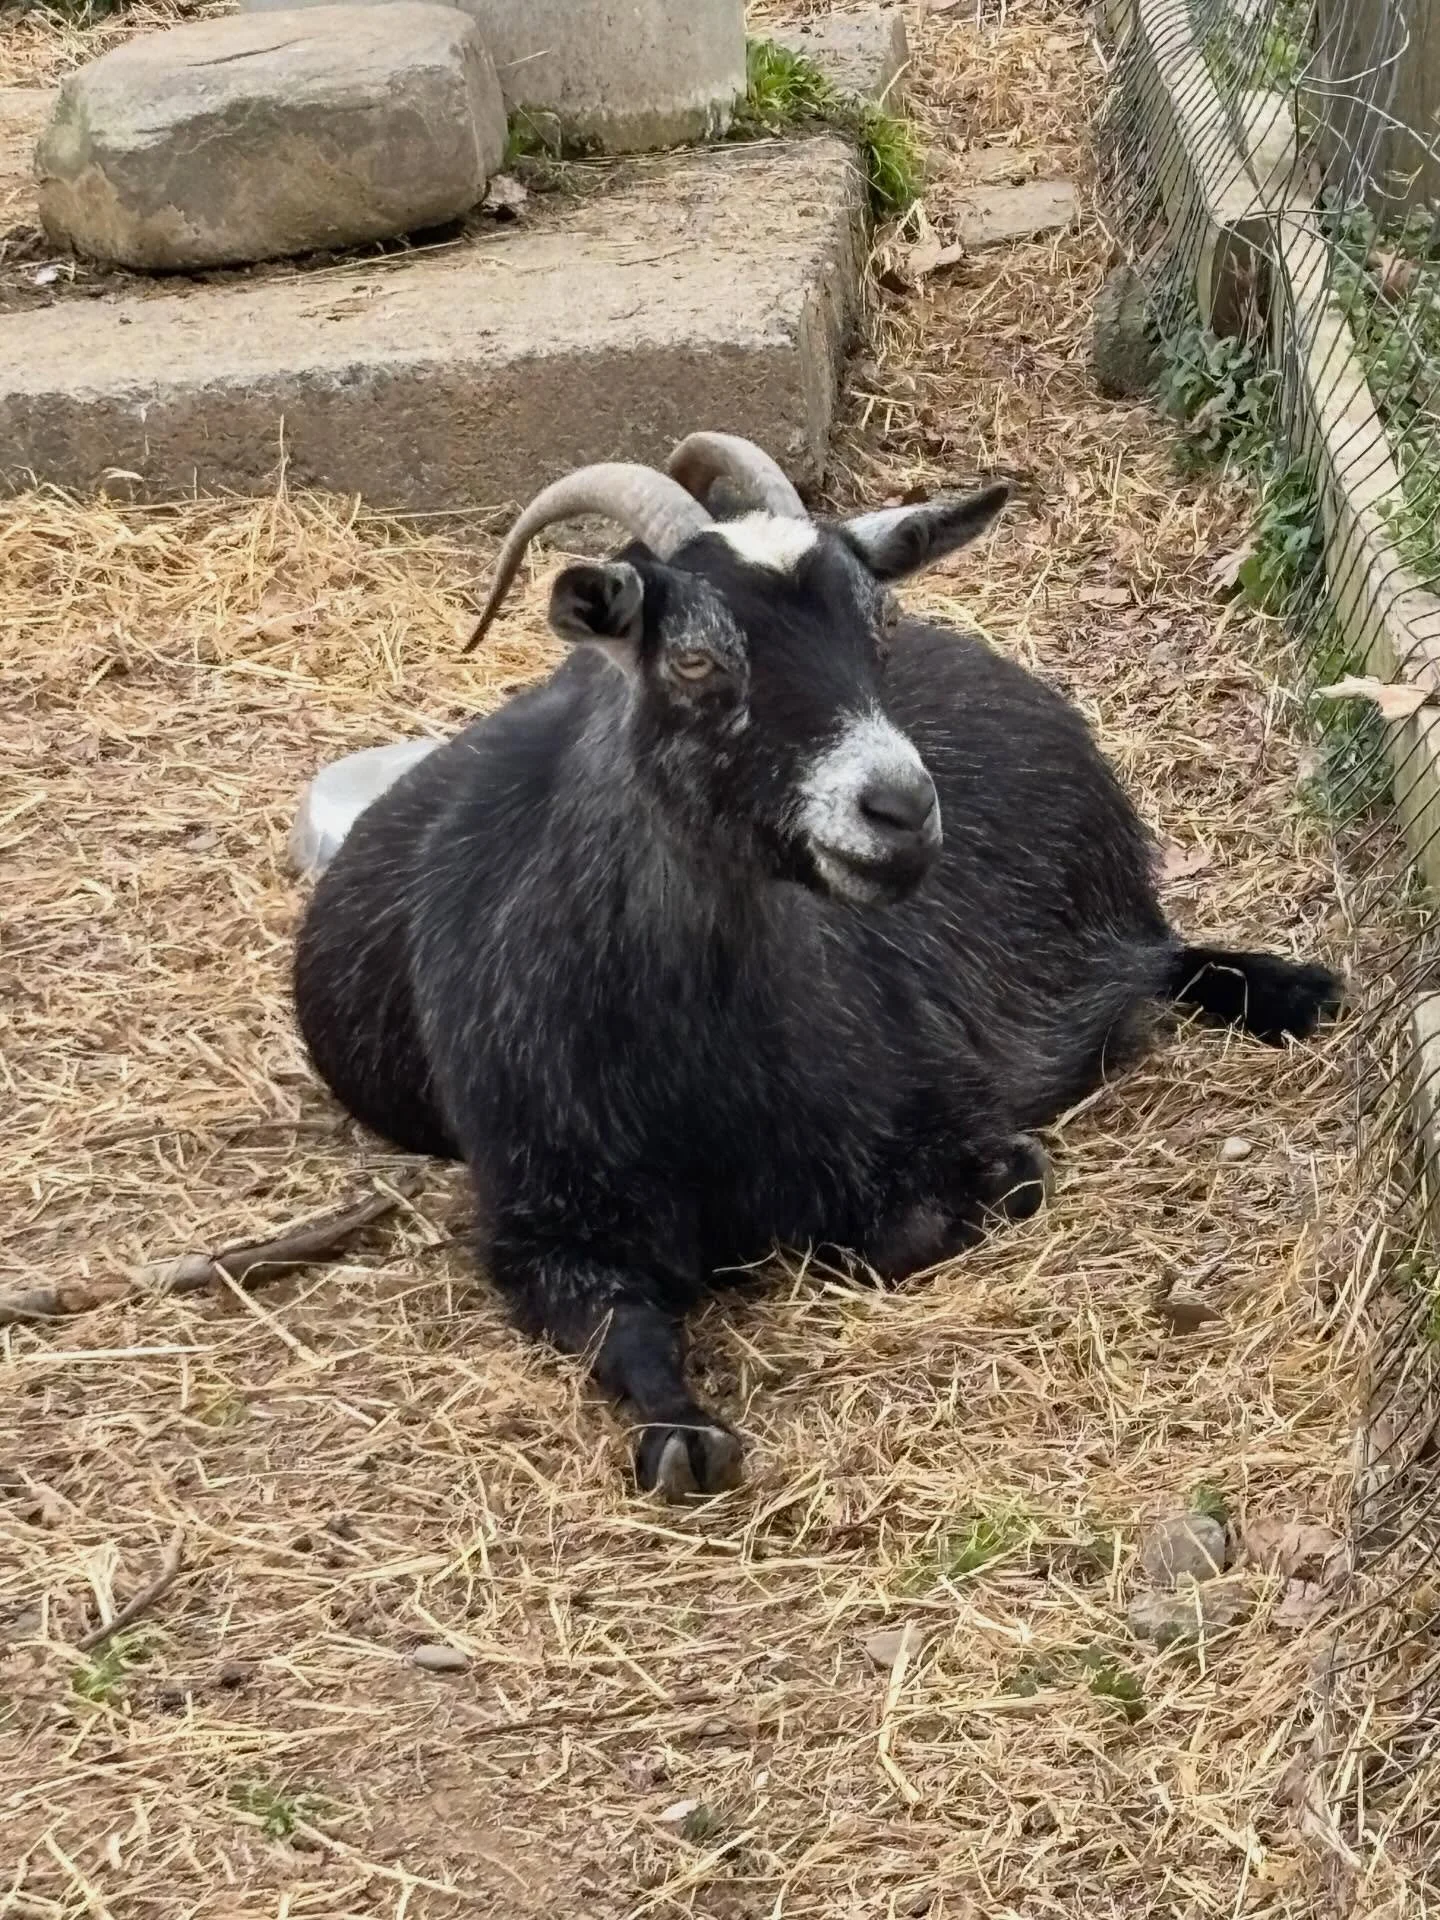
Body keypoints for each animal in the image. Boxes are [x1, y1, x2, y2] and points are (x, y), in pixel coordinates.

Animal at [293, 433, 1341, 1499]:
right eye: (694, 657)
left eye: (879, 625)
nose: (901, 808)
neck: (689, 1066)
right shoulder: (540, 1223)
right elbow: (619, 1330)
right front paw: (680, 1432)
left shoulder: (949, 1117)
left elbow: (936, 1214)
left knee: (1160, 956)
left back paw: (1293, 990)